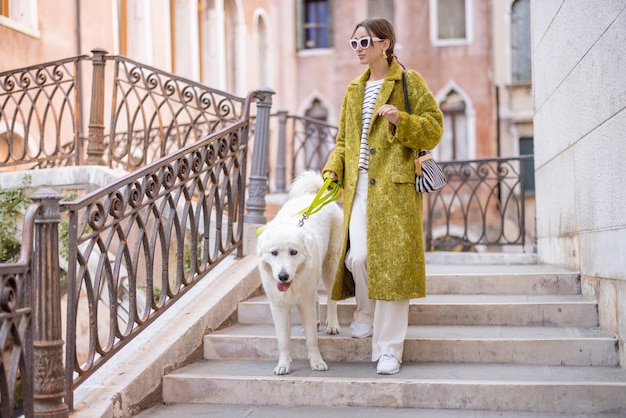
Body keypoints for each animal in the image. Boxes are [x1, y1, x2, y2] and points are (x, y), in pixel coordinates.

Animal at [255, 171, 342, 376]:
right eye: (274, 253)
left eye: (293, 252)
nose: (283, 276)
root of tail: (313, 195)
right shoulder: (279, 307)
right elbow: (283, 341)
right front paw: (283, 365)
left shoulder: (305, 303)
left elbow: (311, 339)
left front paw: (317, 362)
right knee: (317, 298)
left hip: (330, 267)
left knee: (331, 299)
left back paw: (332, 325)